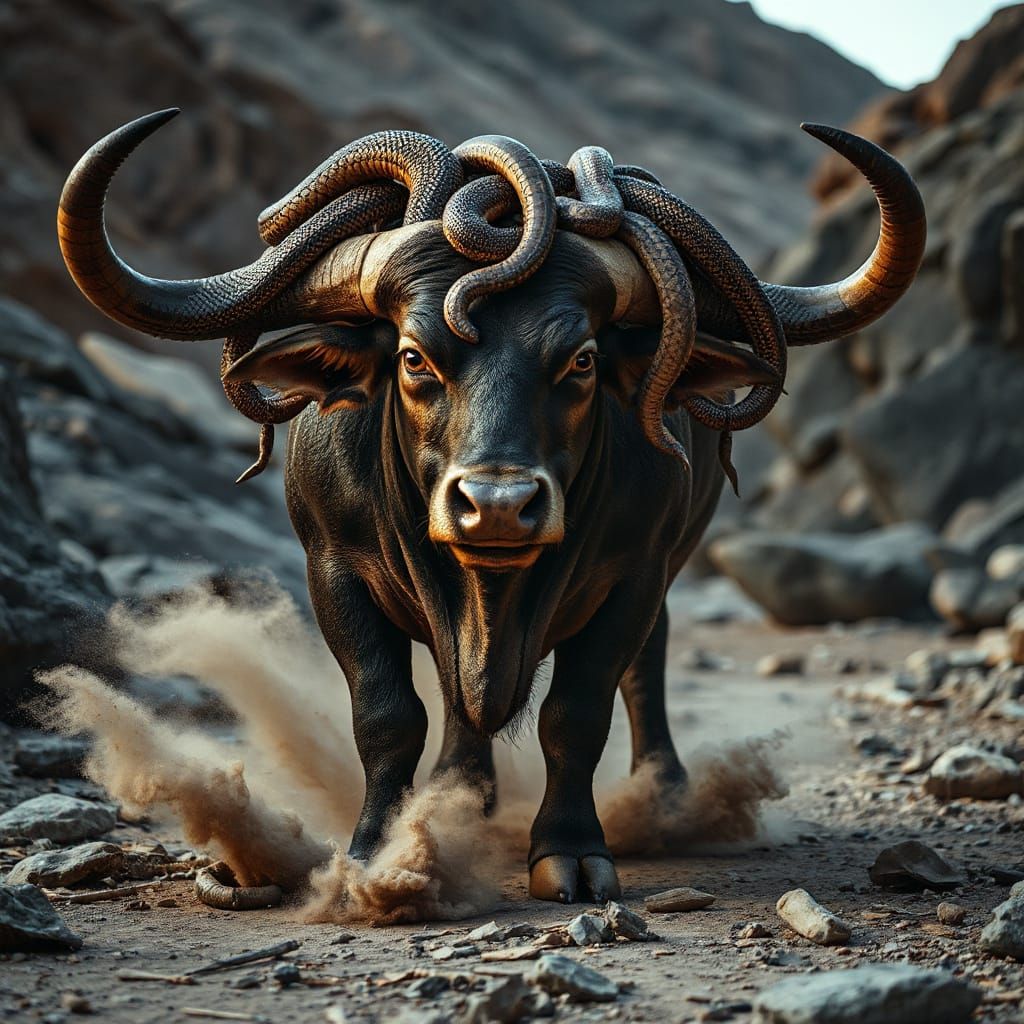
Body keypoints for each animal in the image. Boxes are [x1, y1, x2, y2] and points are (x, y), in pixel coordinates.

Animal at [58, 111, 925, 903]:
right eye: (414, 357)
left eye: (581, 360)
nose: (499, 505)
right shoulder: (333, 571)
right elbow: (387, 712)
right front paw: (378, 854)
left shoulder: (633, 576)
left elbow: (577, 711)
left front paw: (570, 851)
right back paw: (462, 794)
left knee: (646, 667)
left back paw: (667, 797)